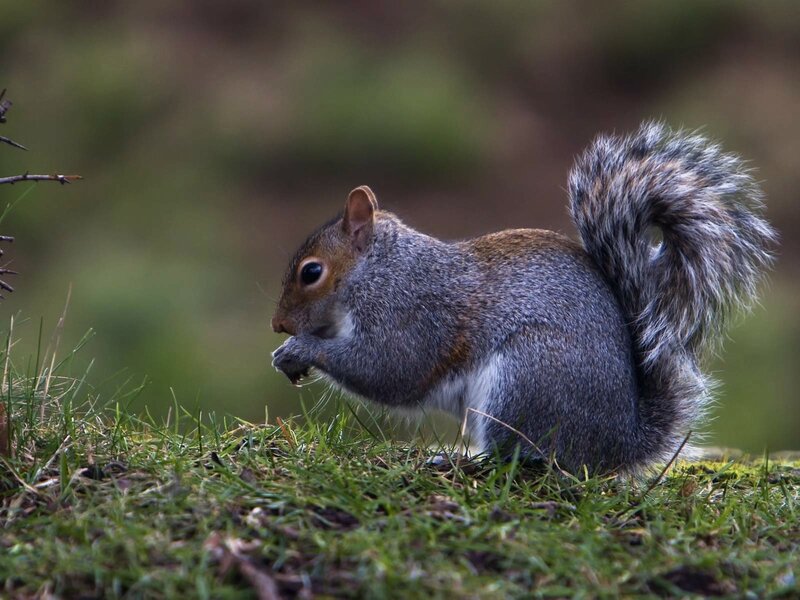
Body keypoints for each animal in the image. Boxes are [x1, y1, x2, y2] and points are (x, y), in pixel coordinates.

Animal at [271, 122, 776, 473]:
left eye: (312, 272)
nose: (279, 326)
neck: (377, 269)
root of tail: (618, 444)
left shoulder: (411, 311)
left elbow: (390, 369)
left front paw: (301, 349)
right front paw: (286, 354)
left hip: (524, 379)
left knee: (526, 458)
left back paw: (460, 461)